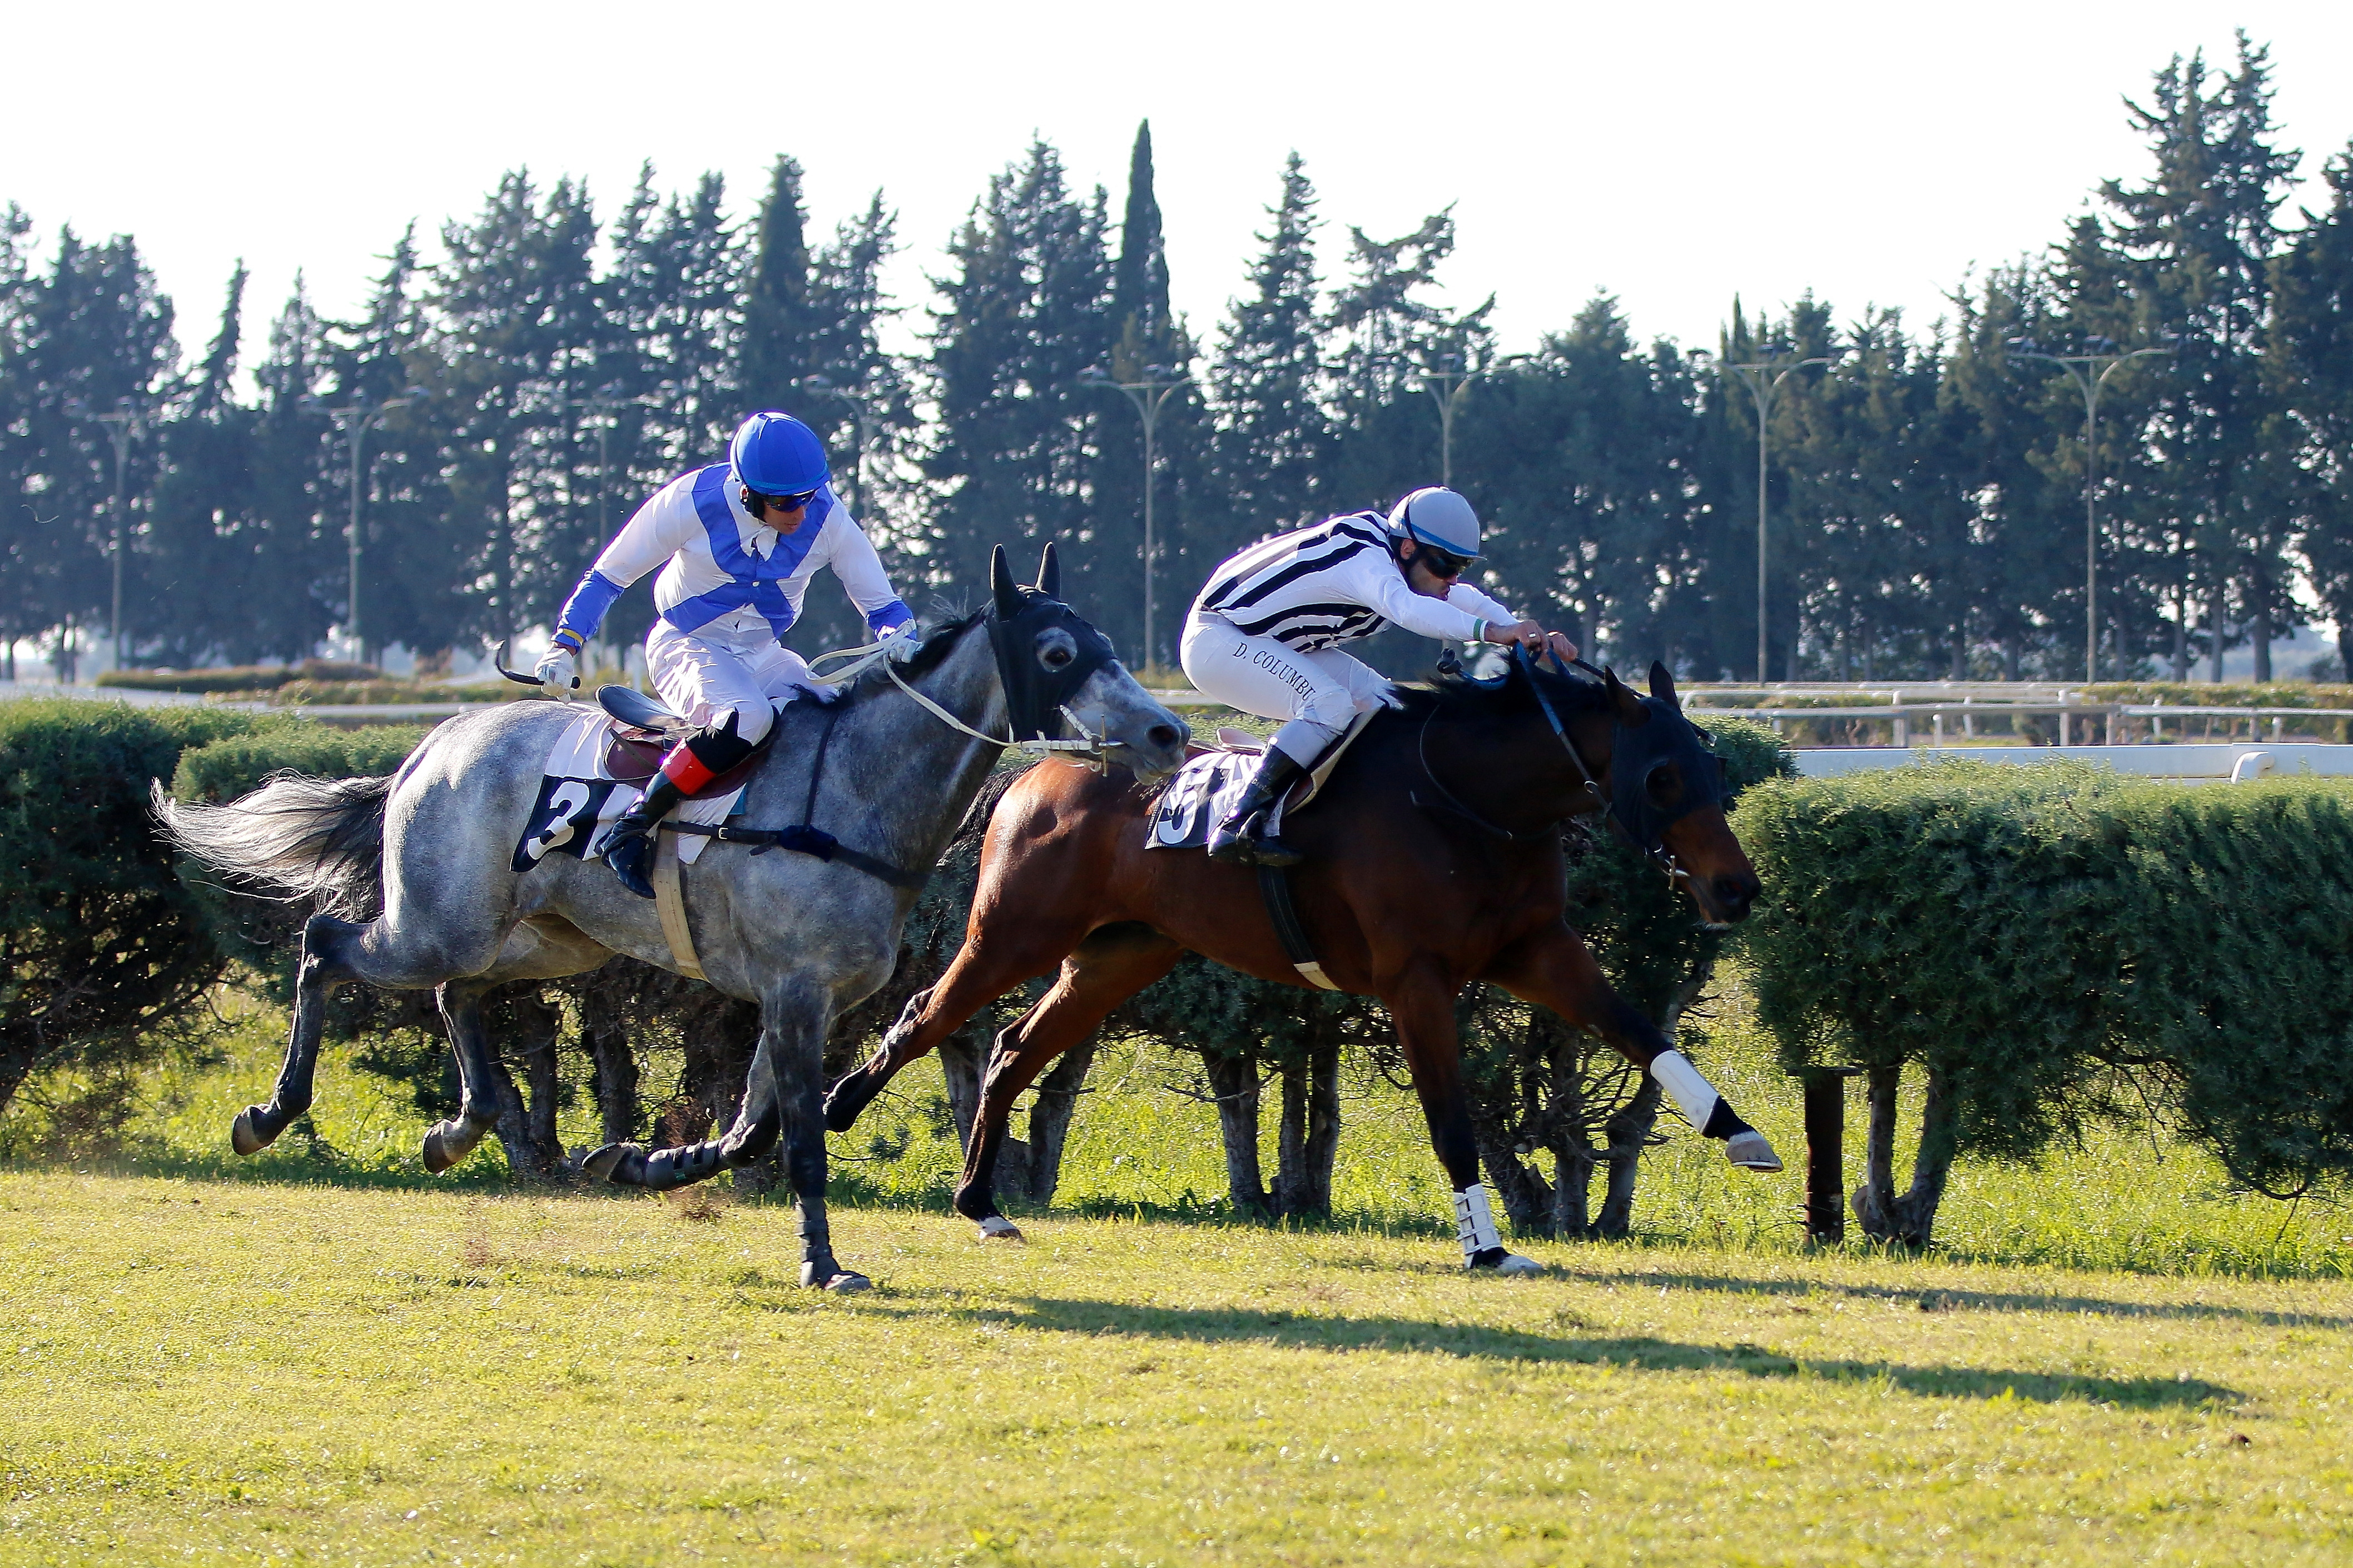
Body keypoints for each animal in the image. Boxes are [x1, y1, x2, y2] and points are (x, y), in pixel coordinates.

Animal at [156, 550, 1185, 1288]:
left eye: (1101, 637)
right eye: (1057, 654)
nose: (1167, 730)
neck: (851, 793)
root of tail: (431, 745)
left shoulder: (805, 1000)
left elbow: (750, 1133)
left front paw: (635, 1161)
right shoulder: (797, 992)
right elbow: (798, 1140)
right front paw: (823, 1263)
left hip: (546, 940)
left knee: (457, 995)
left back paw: (460, 1128)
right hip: (436, 922)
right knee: (326, 946)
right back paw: (270, 1114)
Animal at [828, 658, 1779, 1269]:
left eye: (1710, 761)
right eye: (1661, 776)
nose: (1736, 890)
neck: (1462, 801)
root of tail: (1037, 774)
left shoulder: (1537, 948)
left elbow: (1642, 1032)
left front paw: (1741, 1132)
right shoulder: (1415, 980)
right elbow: (1451, 1120)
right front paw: (1488, 1247)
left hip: (1116, 958)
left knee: (1011, 1049)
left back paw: (982, 1203)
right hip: (1013, 934)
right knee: (926, 1017)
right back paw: (837, 1105)